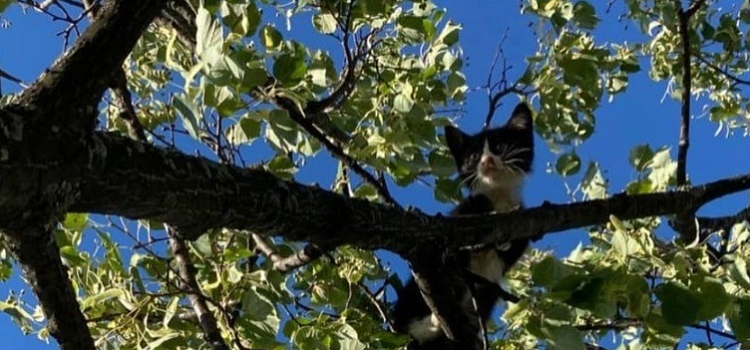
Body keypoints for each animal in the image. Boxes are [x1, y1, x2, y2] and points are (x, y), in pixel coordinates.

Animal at [394, 102, 536, 348]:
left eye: (499, 147)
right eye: (475, 156)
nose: (487, 161)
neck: (498, 195)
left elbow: (513, 248)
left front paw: (505, 241)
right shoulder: (456, 217)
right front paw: (481, 204)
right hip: (414, 297)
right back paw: (431, 322)